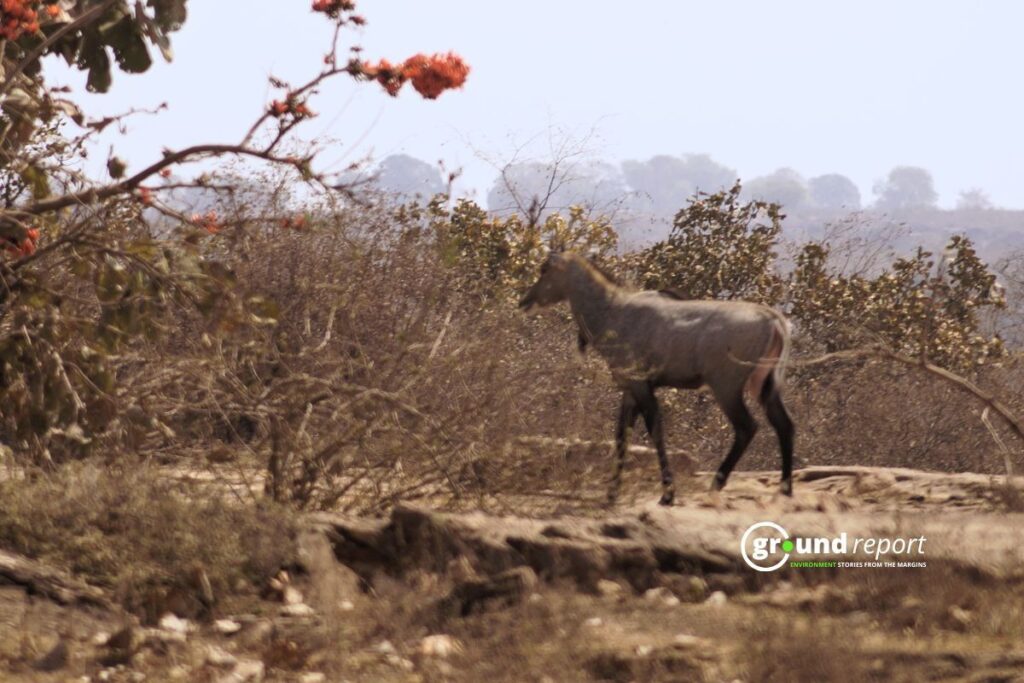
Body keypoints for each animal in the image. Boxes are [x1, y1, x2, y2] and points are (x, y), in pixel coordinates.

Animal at [519, 251, 794, 505]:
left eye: (545, 269)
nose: (525, 301)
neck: (613, 311)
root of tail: (774, 321)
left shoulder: (641, 385)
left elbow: (656, 432)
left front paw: (667, 494)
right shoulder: (629, 389)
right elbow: (621, 436)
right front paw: (612, 493)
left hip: (726, 387)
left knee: (747, 427)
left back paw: (717, 484)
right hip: (763, 386)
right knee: (785, 424)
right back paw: (785, 490)